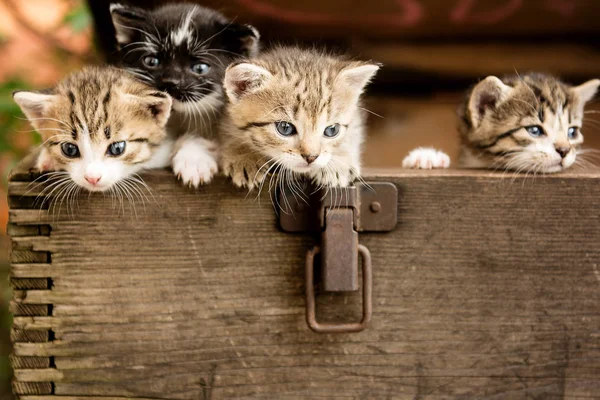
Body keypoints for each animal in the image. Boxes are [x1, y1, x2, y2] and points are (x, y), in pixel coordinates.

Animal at [220, 47, 380, 191]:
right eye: (285, 128)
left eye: (332, 130)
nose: (311, 157)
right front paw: (244, 157)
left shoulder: (356, 122)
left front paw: (337, 164)